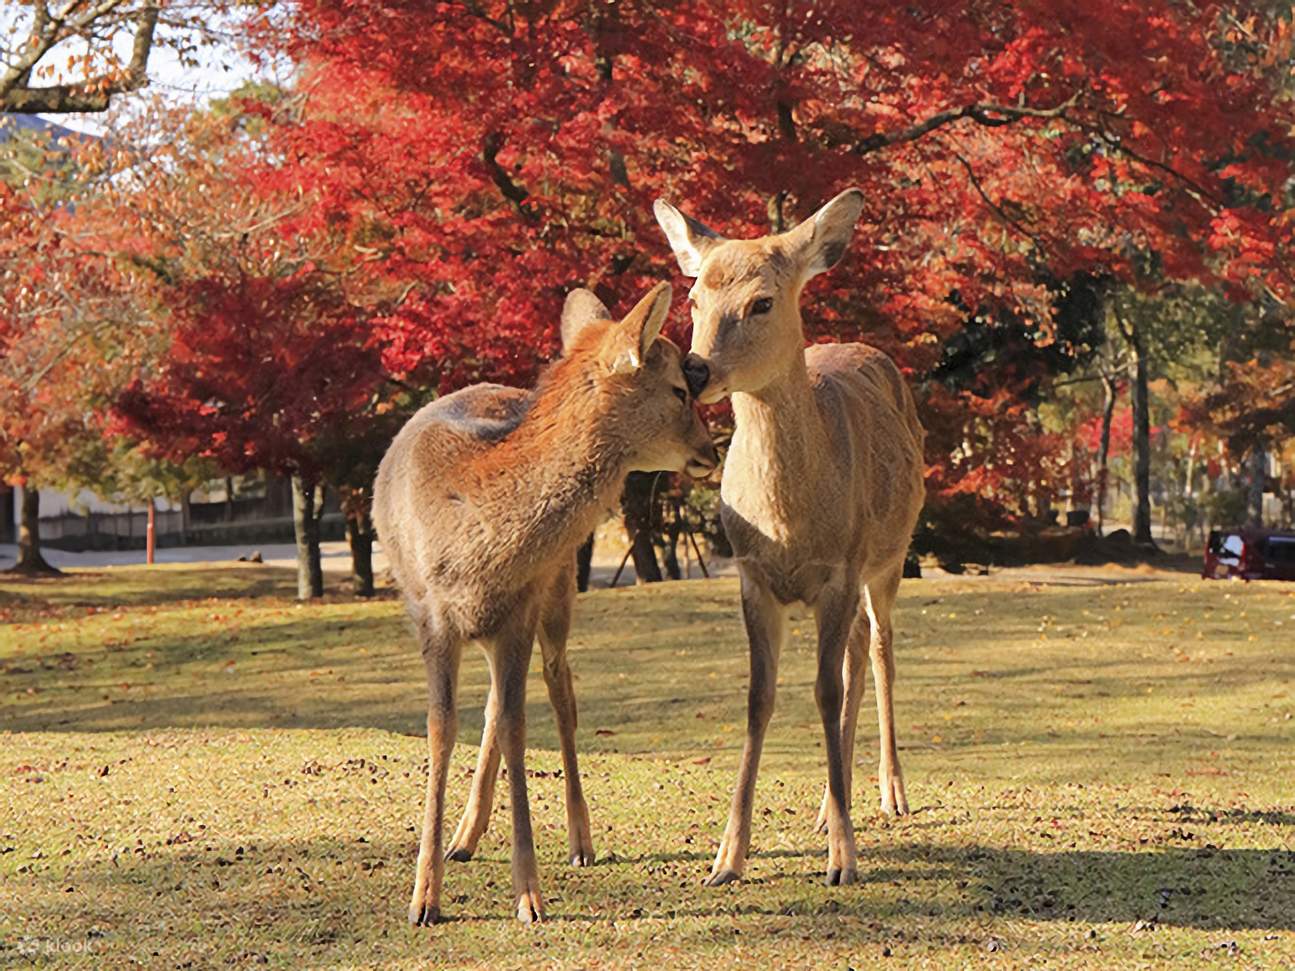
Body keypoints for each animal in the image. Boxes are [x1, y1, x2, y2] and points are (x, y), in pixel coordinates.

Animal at [372, 283, 720, 926]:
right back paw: (464, 838)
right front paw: (423, 897)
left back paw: (580, 841)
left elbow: (517, 726)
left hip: (558, 590)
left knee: (559, 690)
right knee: (494, 703)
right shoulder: (432, 618)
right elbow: (441, 727)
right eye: (679, 391)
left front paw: (528, 896)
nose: (710, 450)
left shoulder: (520, 609)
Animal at [657, 187, 922, 890]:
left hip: (890, 556)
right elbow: (759, 697)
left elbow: (825, 692)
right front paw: (726, 858)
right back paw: (830, 806)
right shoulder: (752, 577)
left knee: (879, 651)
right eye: (693, 298)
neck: (788, 527)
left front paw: (844, 859)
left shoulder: (840, 571)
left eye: (762, 302)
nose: (695, 371)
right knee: (856, 656)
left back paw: (890, 794)